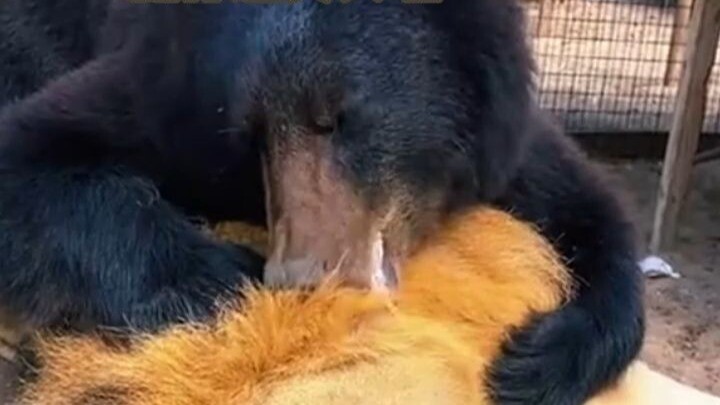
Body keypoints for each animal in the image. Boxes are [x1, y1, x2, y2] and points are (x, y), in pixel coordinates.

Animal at [0, 1, 644, 404]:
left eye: (335, 117)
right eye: (251, 135)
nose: (300, 275)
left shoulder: (498, 134)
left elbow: (584, 207)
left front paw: (535, 361)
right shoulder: (166, 93)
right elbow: (34, 152)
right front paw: (217, 280)